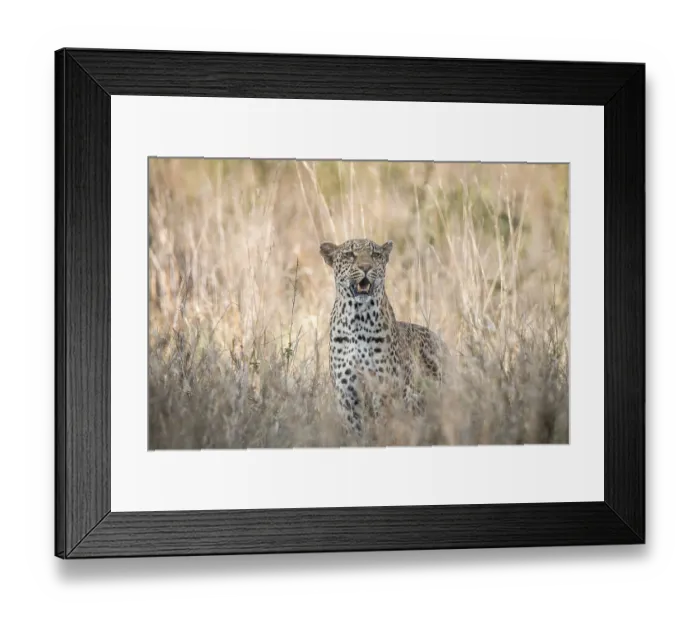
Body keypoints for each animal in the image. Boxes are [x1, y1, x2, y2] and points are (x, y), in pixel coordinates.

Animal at [320, 238, 449, 434]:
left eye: (375, 255)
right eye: (349, 255)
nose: (366, 267)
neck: (358, 318)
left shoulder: (383, 388)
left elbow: (383, 426)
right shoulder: (347, 393)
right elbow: (356, 431)